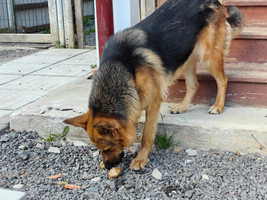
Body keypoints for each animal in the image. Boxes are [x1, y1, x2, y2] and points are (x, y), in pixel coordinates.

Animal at [63, 0, 244, 170]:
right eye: (99, 149)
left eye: (107, 148)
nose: (108, 167)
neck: (122, 68)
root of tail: (215, 2)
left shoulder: (153, 104)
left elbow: (146, 136)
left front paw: (140, 159)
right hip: (184, 57)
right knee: (194, 84)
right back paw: (182, 106)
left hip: (208, 57)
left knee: (223, 80)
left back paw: (218, 106)